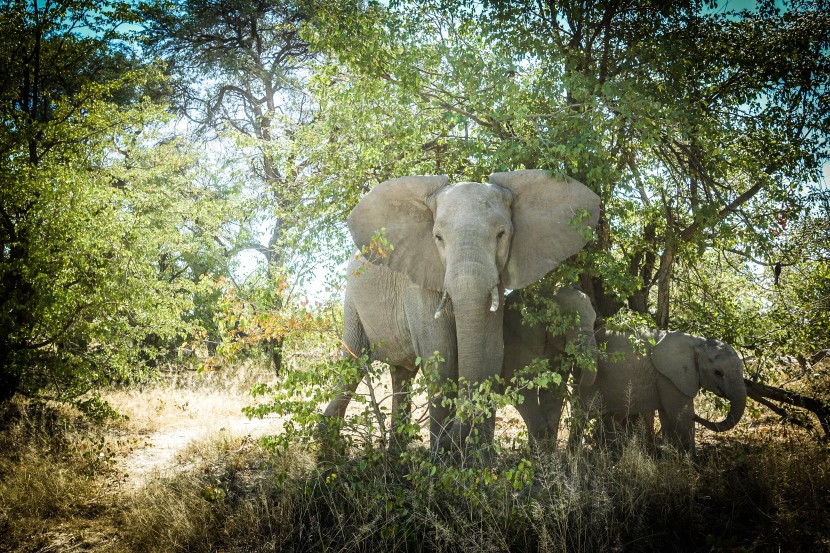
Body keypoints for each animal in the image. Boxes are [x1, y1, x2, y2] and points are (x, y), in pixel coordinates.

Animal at [322, 169, 600, 452]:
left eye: (501, 234)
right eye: (438, 238)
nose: (452, 440)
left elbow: (491, 352)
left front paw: (479, 456)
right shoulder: (419, 276)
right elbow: (441, 353)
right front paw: (441, 456)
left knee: (402, 374)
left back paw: (395, 453)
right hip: (352, 302)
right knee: (354, 365)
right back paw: (327, 446)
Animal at [580, 328, 752, 452]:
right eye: (718, 373)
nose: (698, 416)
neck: (697, 342)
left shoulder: (667, 379)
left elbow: (667, 415)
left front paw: (671, 455)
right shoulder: (669, 378)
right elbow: (681, 415)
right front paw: (691, 464)